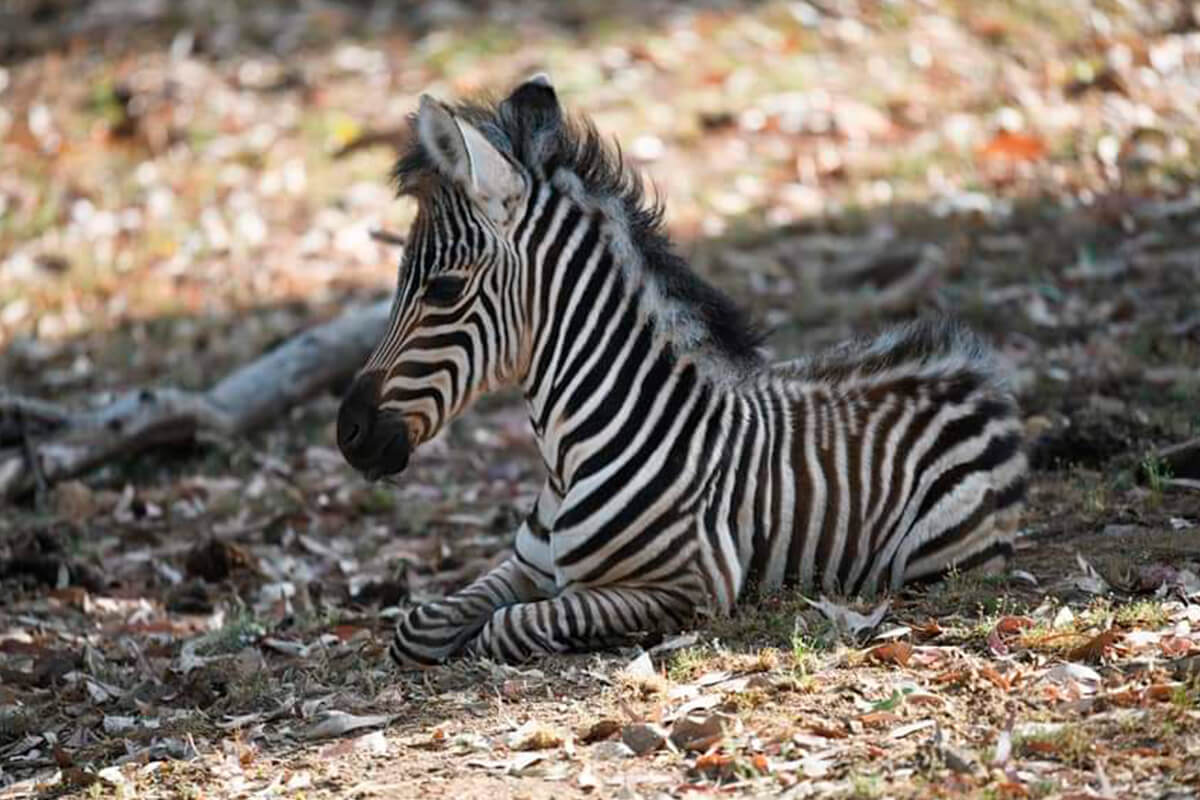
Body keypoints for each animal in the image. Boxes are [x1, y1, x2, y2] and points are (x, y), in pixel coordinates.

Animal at [338, 74, 1032, 666]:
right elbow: (418, 624)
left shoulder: (684, 587)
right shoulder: (527, 566)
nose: (348, 433)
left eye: (445, 289)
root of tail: (977, 376)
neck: (574, 451)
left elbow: (507, 626)